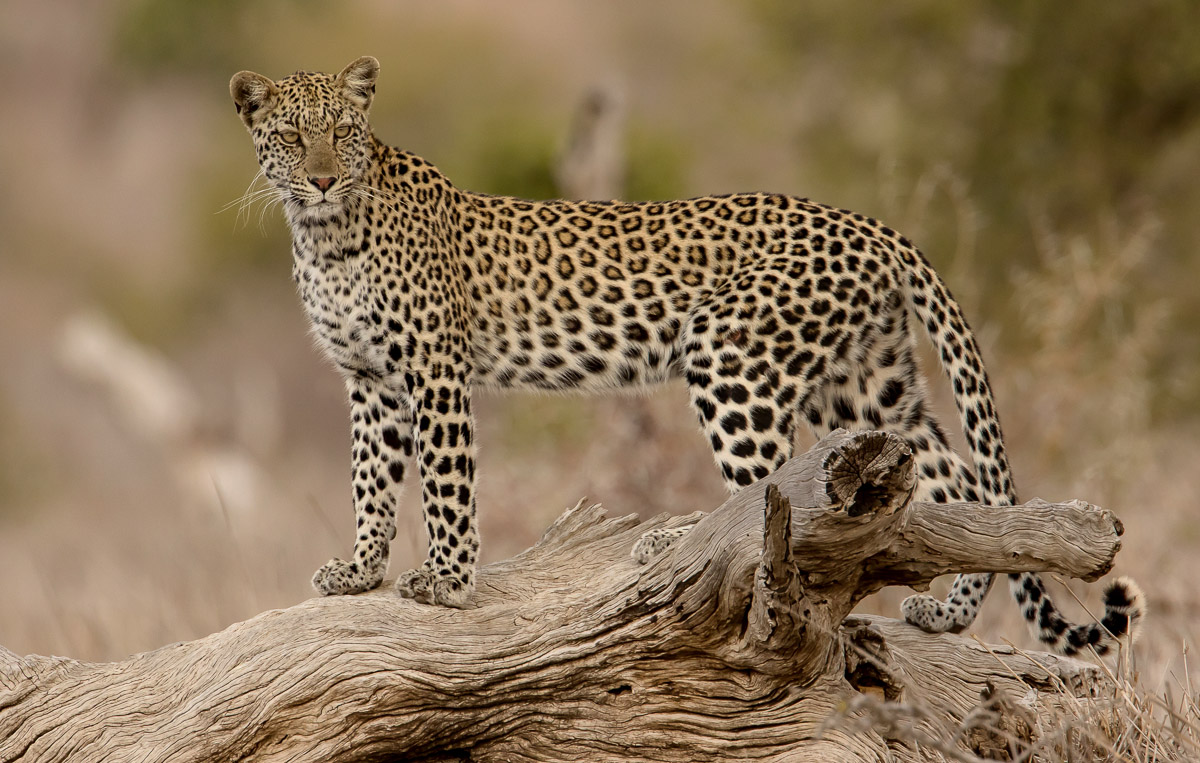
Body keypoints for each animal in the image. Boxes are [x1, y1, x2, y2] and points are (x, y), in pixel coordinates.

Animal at [229, 56, 1143, 656]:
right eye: (291, 136)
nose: (320, 178)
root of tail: (871, 224)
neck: (324, 234)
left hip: (734, 357)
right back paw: (950, 613)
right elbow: (370, 480)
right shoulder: (370, 380)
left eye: (344, 134)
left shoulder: (433, 371)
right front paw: (359, 572)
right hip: (864, 386)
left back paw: (676, 543)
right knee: (948, 482)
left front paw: (448, 582)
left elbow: (447, 485)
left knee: (778, 500)